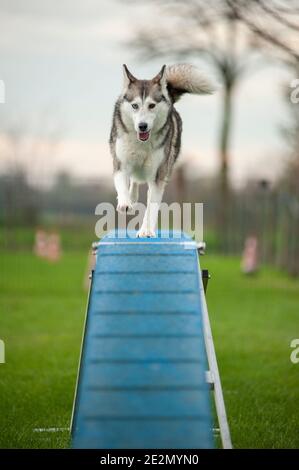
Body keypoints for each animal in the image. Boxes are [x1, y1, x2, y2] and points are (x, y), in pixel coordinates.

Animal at [110, 64, 216, 237]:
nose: (142, 126)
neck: (142, 144)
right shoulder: (121, 163)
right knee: (134, 180)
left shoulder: (157, 175)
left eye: (152, 105)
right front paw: (125, 202)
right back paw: (132, 197)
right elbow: (122, 184)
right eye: (135, 106)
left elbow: (152, 206)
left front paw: (146, 230)